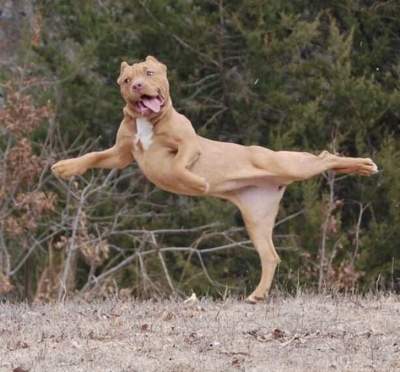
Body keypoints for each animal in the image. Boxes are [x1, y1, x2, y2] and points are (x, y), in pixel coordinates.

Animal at [53, 56, 378, 306]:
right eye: (126, 80)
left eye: (149, 73)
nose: (137, 86)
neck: (148, 122)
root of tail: (272, 180)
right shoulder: (121, 153)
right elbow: (94, 156)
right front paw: (66, 167)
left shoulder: (188, 145)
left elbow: (180, 166)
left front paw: (198, 183)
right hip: (256, 218)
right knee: (270, 256)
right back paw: (257, 294)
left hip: (286, 163)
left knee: (325, 157)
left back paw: (364, 165)